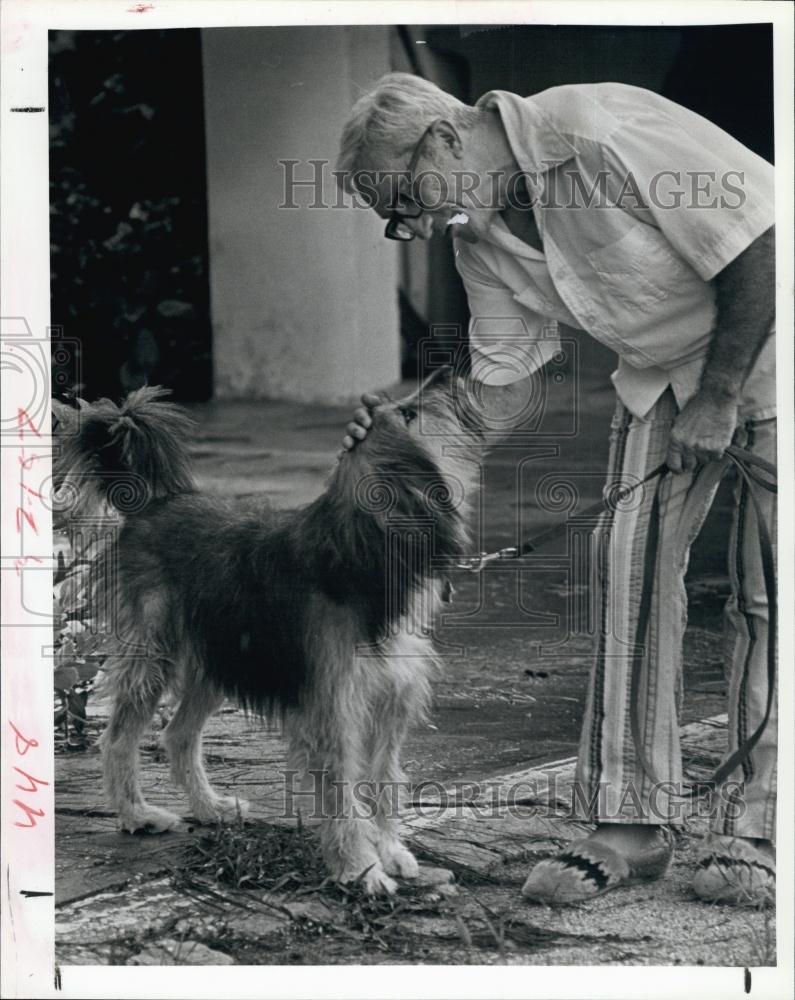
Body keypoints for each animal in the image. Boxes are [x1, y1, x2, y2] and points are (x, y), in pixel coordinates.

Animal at [54, 370, 486, 900]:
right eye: (408, 412)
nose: (449, 371)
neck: (358, 557)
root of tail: (154, 504)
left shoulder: (389, 702)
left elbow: (384, 780)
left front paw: (389, 851)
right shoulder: (333, 713)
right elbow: (343, 794)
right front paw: (360, 870)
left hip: (222, 655)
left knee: (178, 735)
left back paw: (210, 808)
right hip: (155, 654)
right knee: (118, 739)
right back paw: (137, 815)